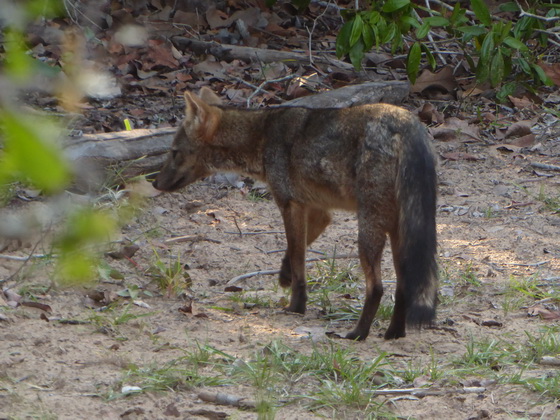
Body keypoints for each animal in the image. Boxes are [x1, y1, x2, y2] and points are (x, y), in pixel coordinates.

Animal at [152, 88, 438, 342]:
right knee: (403, 288)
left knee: (377, 288)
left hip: (369, 232)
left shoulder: (289, 204)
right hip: (398, 233)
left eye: (174, 152)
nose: (155, 183)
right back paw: (394, 333)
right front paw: (284, 276)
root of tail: (407, 122)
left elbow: (297, 258)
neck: (262, 137)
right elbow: (292, 253)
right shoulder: (319, 212)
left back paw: (358, 334)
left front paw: (295, 305)